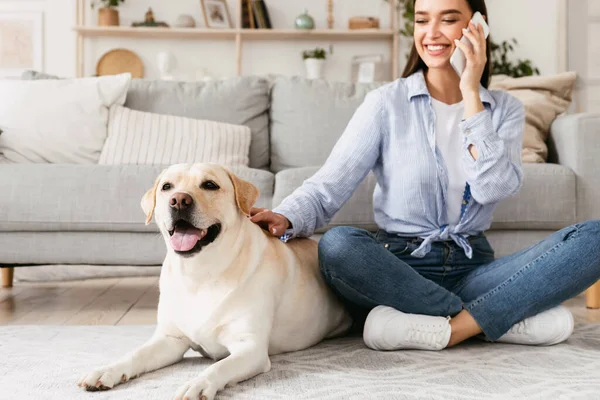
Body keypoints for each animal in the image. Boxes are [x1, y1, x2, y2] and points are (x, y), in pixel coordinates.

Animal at [78, 163, 352, 400]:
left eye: (210, 185)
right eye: (166, 187)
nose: (179, 200)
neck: (199, 274)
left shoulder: (250, 348)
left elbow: (219, 367)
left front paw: (197, 383)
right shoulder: (170, 339)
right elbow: (135, 354)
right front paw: (107, 370)